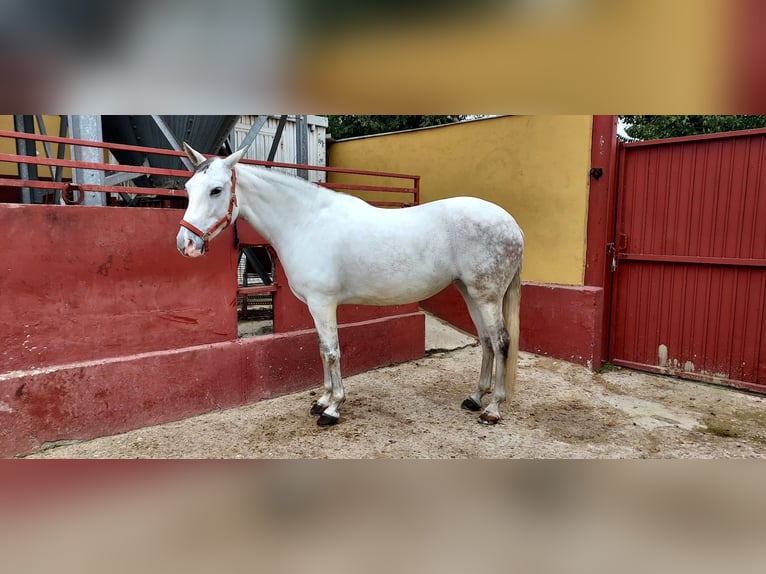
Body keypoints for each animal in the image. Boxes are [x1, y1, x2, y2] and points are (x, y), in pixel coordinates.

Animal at [177, 144, 524, 428]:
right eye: (189, 187)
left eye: (216, 190)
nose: (186, 244)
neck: (305, 223)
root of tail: (511, 224)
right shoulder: (316, 307)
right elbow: (321, 349)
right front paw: (322, 400)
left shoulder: (323, 303)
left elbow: (332, 352)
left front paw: (333, 409)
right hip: (470, 293)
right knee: (486, 341)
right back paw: (475, 398)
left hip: (487, 296)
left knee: (501, 342)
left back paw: (493, 409)